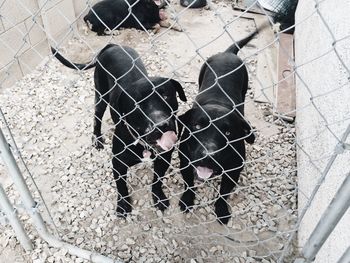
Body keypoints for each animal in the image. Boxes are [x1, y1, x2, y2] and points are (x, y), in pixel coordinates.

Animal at [51, 44, 186, 217]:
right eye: (137, 105)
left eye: (166, 96)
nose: (161, 124)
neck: (144, 144)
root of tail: (113, 45)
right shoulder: (118, 163)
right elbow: (121, 186)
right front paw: (122, 205)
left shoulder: (164, 159)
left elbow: (157, 180)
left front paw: (158, 197)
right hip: (101, 97)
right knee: (96, 118)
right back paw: (97, 139)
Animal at [178, 31, 258, 225]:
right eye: (197, 126)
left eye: (228, 133)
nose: (208, 155)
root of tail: (228, 53)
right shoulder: (185, 163)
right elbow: (189, 184)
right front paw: (187, 200)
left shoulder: (233, 171)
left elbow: (223, 193)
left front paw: (221, 210)